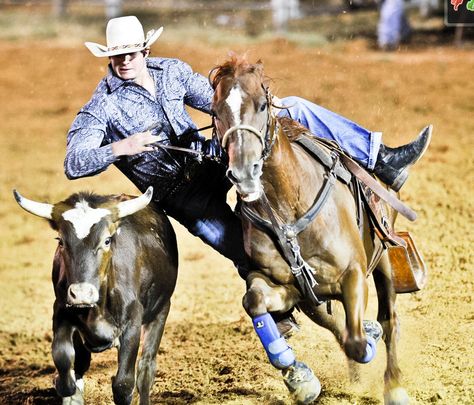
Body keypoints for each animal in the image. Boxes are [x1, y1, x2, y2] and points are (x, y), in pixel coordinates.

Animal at [210, 54, 408, 404]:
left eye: (262, 104)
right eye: (217, 111)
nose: (244, 172)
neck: (290, 208)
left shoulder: (353, 273)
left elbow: (358, 341)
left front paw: (369, 335)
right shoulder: (290, 287)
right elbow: (255, 301)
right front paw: (300, 379)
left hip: (383, 256)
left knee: (390, 318)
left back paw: (394, 384)